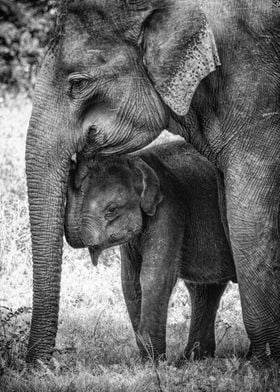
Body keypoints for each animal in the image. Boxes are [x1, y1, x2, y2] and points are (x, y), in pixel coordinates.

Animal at [65, 140, 236, 362]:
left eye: (111, 210)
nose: (72, 162)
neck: (138, 160)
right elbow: (130, 281)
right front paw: (147, 360)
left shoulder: (169, 209)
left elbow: (155, 276)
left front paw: (154, 362)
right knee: (204, 289)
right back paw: (195, 358)